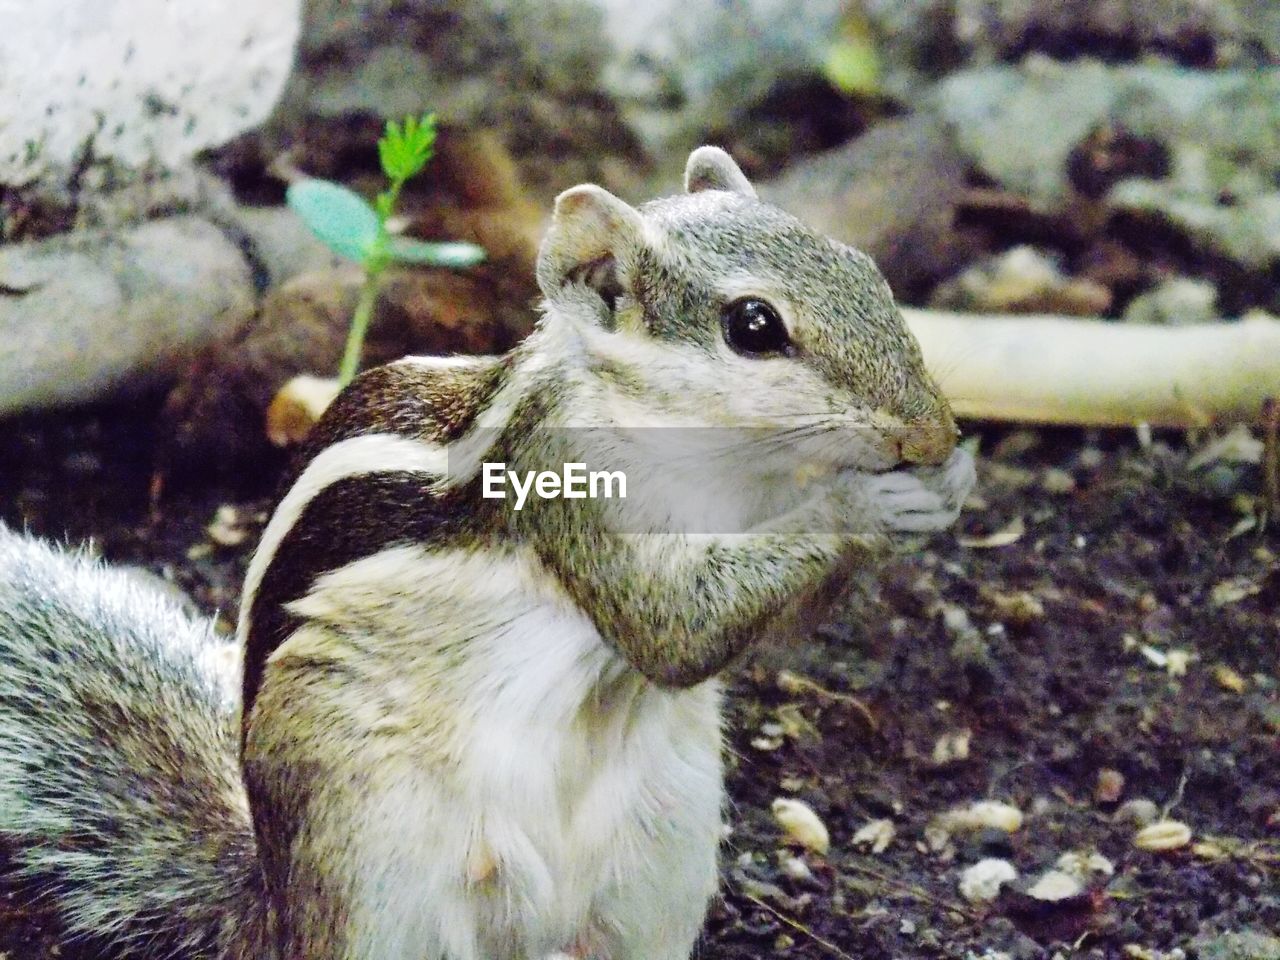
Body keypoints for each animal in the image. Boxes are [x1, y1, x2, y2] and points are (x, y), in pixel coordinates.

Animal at [0, 144, 967, 960]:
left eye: (866, 270)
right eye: (755, 326)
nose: (935, 432)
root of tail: (272, 906)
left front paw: (949, 481)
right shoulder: (574, 489)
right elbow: (676, 629)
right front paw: (867, 498)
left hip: (664, 852)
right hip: (375, 865)